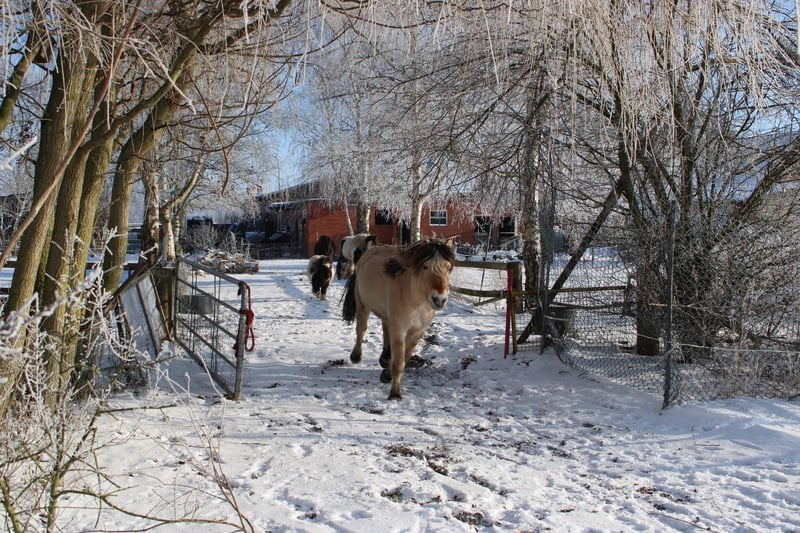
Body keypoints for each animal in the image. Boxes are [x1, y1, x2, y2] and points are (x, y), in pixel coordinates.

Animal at [342, 239, 455, 399]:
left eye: (448, 268)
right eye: (425, 266)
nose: (439, 299)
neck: (416, 301)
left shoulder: (418, 331)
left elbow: (405, 357)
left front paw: (387, 374)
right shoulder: (399, 329)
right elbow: (399, 363)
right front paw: (395, 393)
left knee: (385, 327)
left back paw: (384, 358)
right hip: (363, 305)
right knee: (361, 330)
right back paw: (356, 356)